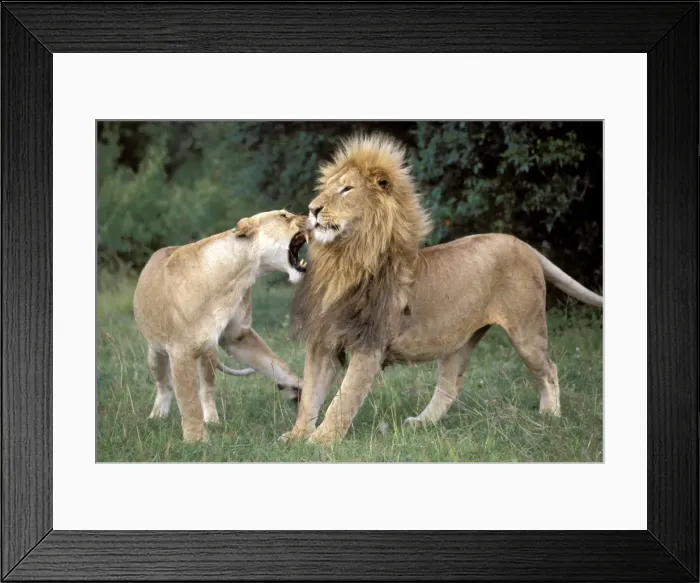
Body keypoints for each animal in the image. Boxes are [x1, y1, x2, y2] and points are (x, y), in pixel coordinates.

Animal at [133, 210, 309, 442]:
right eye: (284, 215)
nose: (311, 214)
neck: (237, 275)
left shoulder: (238, 336)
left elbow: (274, 362)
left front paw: (299, 388)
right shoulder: (180, 350)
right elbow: (188, 400)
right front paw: (196, 440)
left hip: (208, 352)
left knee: (206, 388)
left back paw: (212, 419)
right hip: (155, 352)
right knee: (164, 384)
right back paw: (158, 415)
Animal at [281, 132, 603, 445]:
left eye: (346, 189)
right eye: (326, 189)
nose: (313, 209)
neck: (344, 259)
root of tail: (524, 244)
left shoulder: (369, 343)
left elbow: (343, 398)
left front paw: (321, 441)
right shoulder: (325, 341)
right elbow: (310, 395)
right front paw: (296, 437)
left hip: (527, 331)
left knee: (549, 368)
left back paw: (550, 415)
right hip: (459, 340)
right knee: (450, 386)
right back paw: (421, 423)